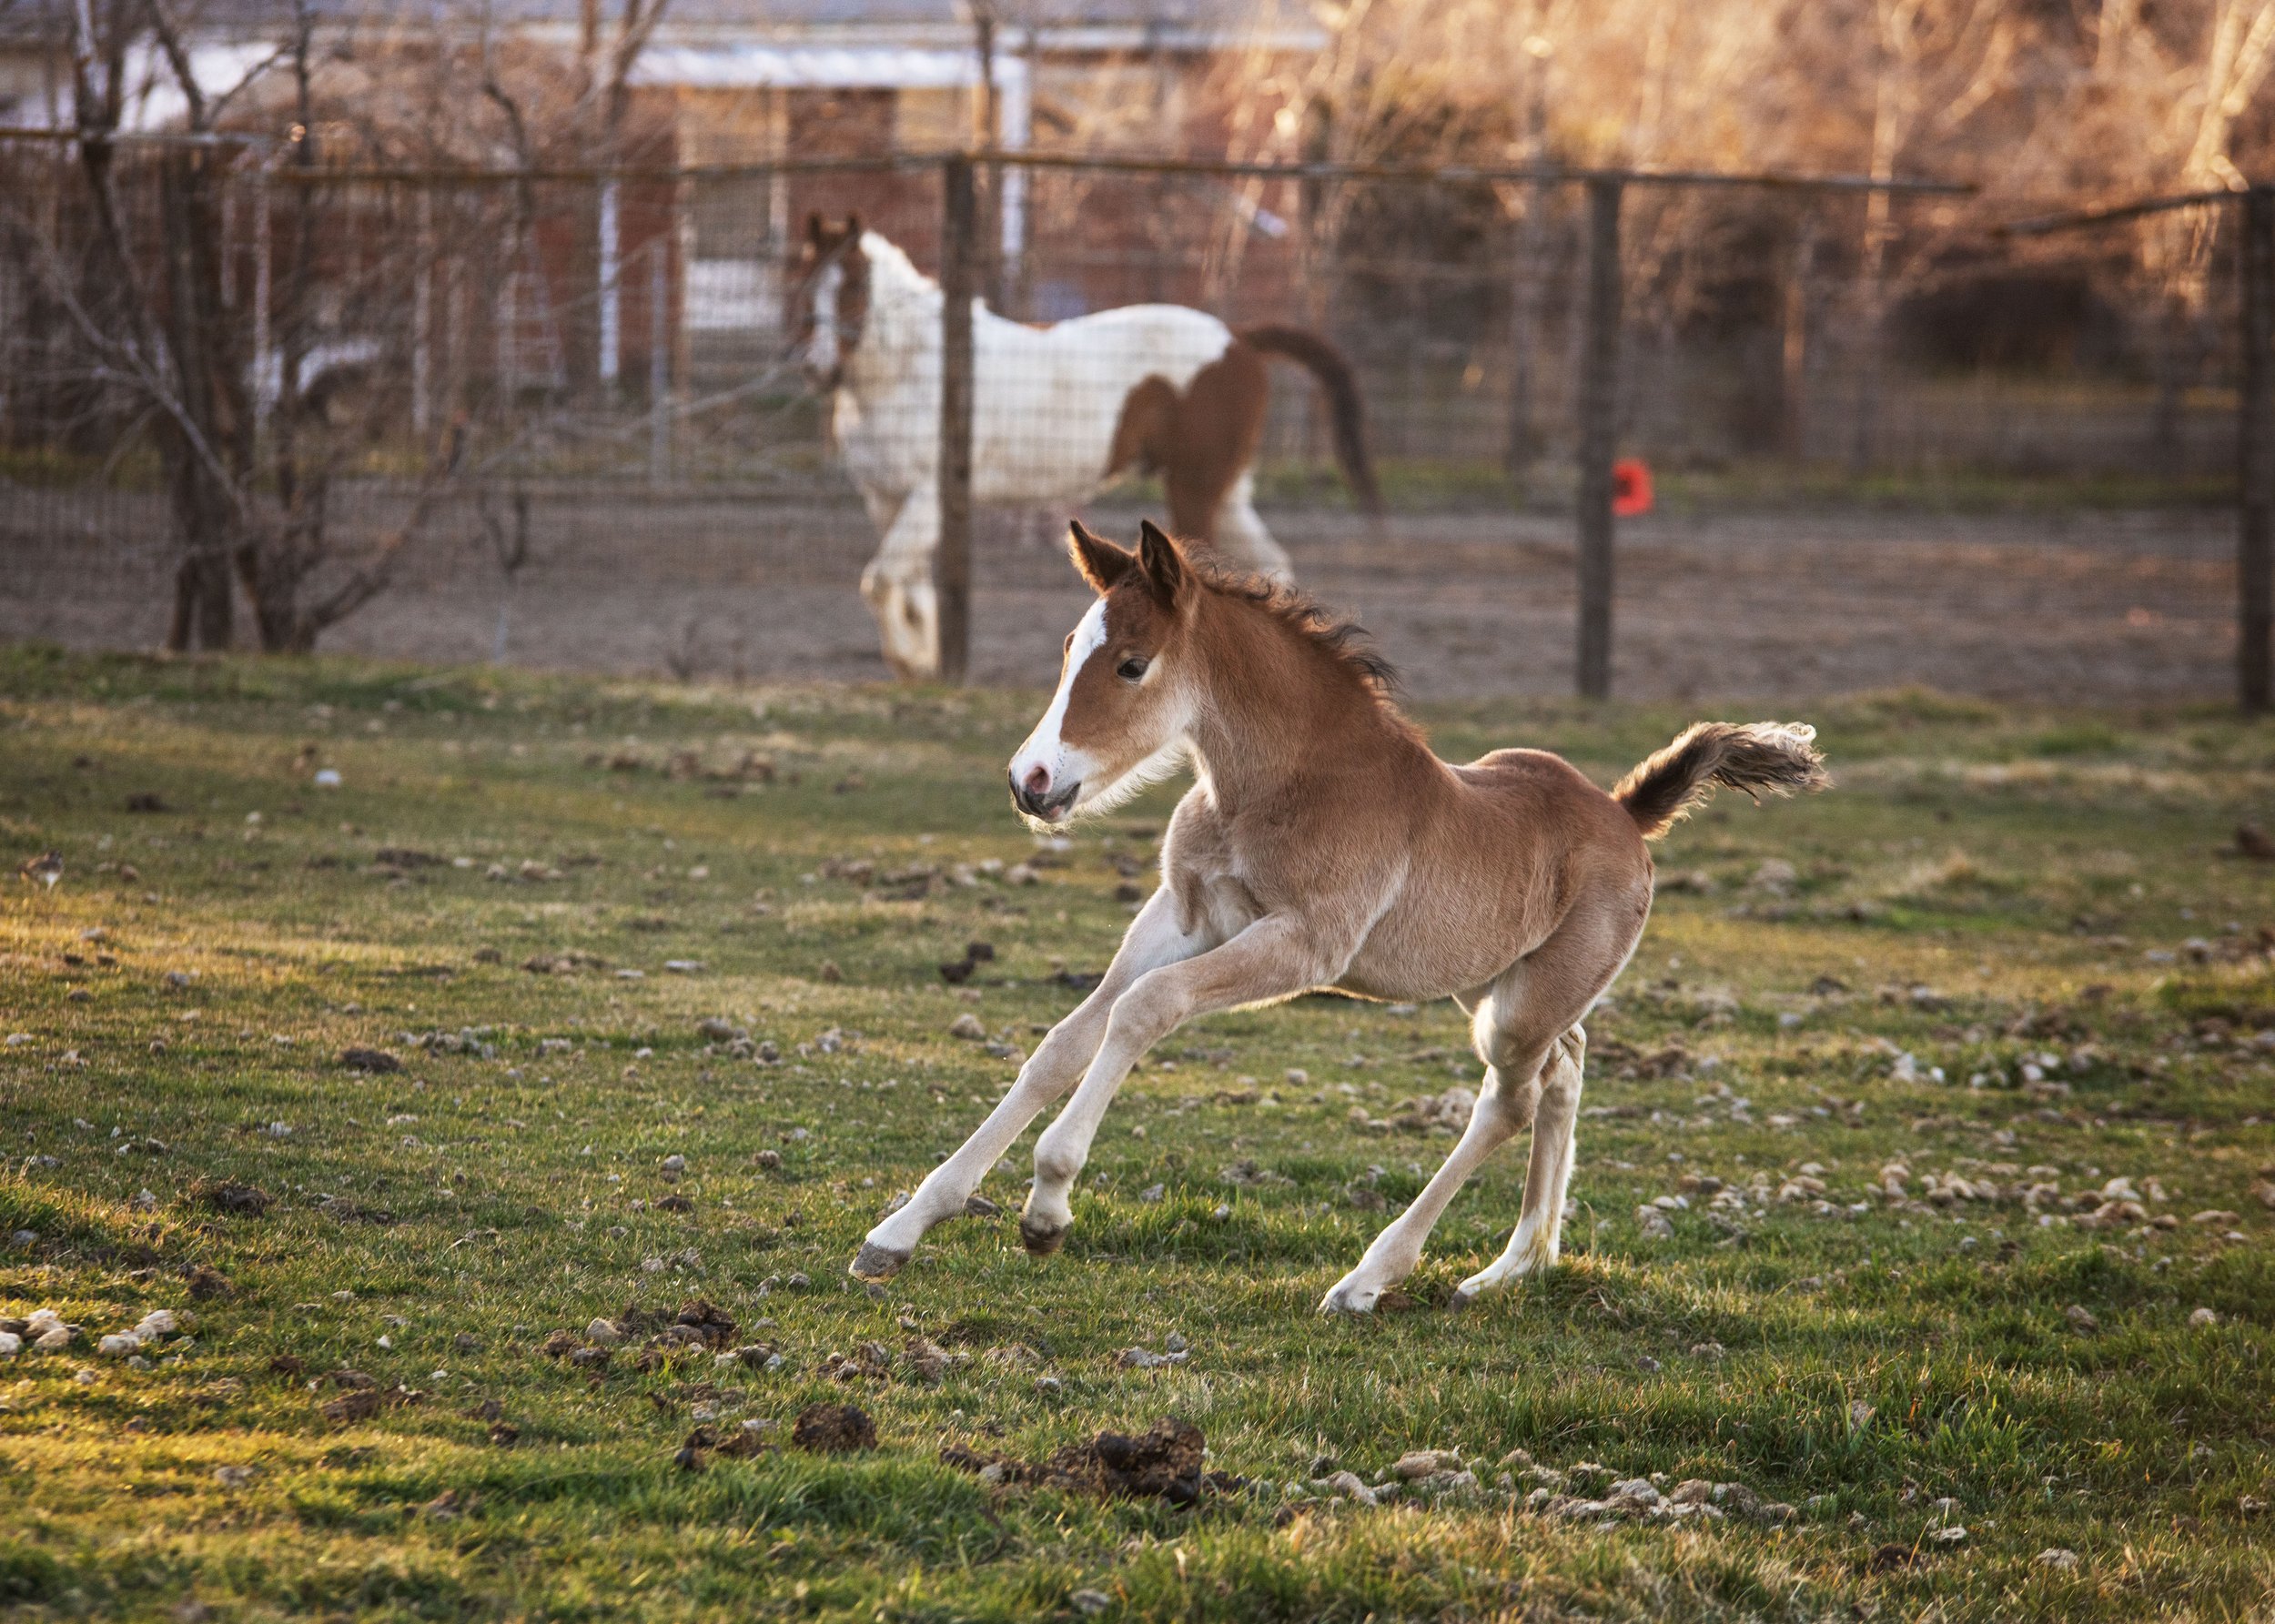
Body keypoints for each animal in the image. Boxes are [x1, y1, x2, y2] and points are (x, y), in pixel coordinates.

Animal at [789, 214, 1383, 680]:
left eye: (854, 285)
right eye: (804, 279)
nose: (816, 368)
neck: (916, 367)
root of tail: (1239, 339)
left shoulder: (927, 494)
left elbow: (881, 579)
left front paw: (912, 662)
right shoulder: (885, 498)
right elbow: (910, 586)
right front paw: (925, 661)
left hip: (1194, 488)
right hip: (1228, 490)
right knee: (1272, 567)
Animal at [848, 518, 1827, 1311]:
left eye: (1130, 663)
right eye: (1065, 650)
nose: (1032, 781)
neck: (1281, 785)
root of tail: (1627, 814)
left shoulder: (1300, 947)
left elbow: (1144, 1009)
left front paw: (1047, 1206)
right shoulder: (1181, 916)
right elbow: (1063, 1043)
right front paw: (900, 1229)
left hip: (1519, 1009)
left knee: (1511, 1100)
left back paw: (1369, 1279)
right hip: (1500, 984)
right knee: (1567, 1069)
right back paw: (1514, 1267)